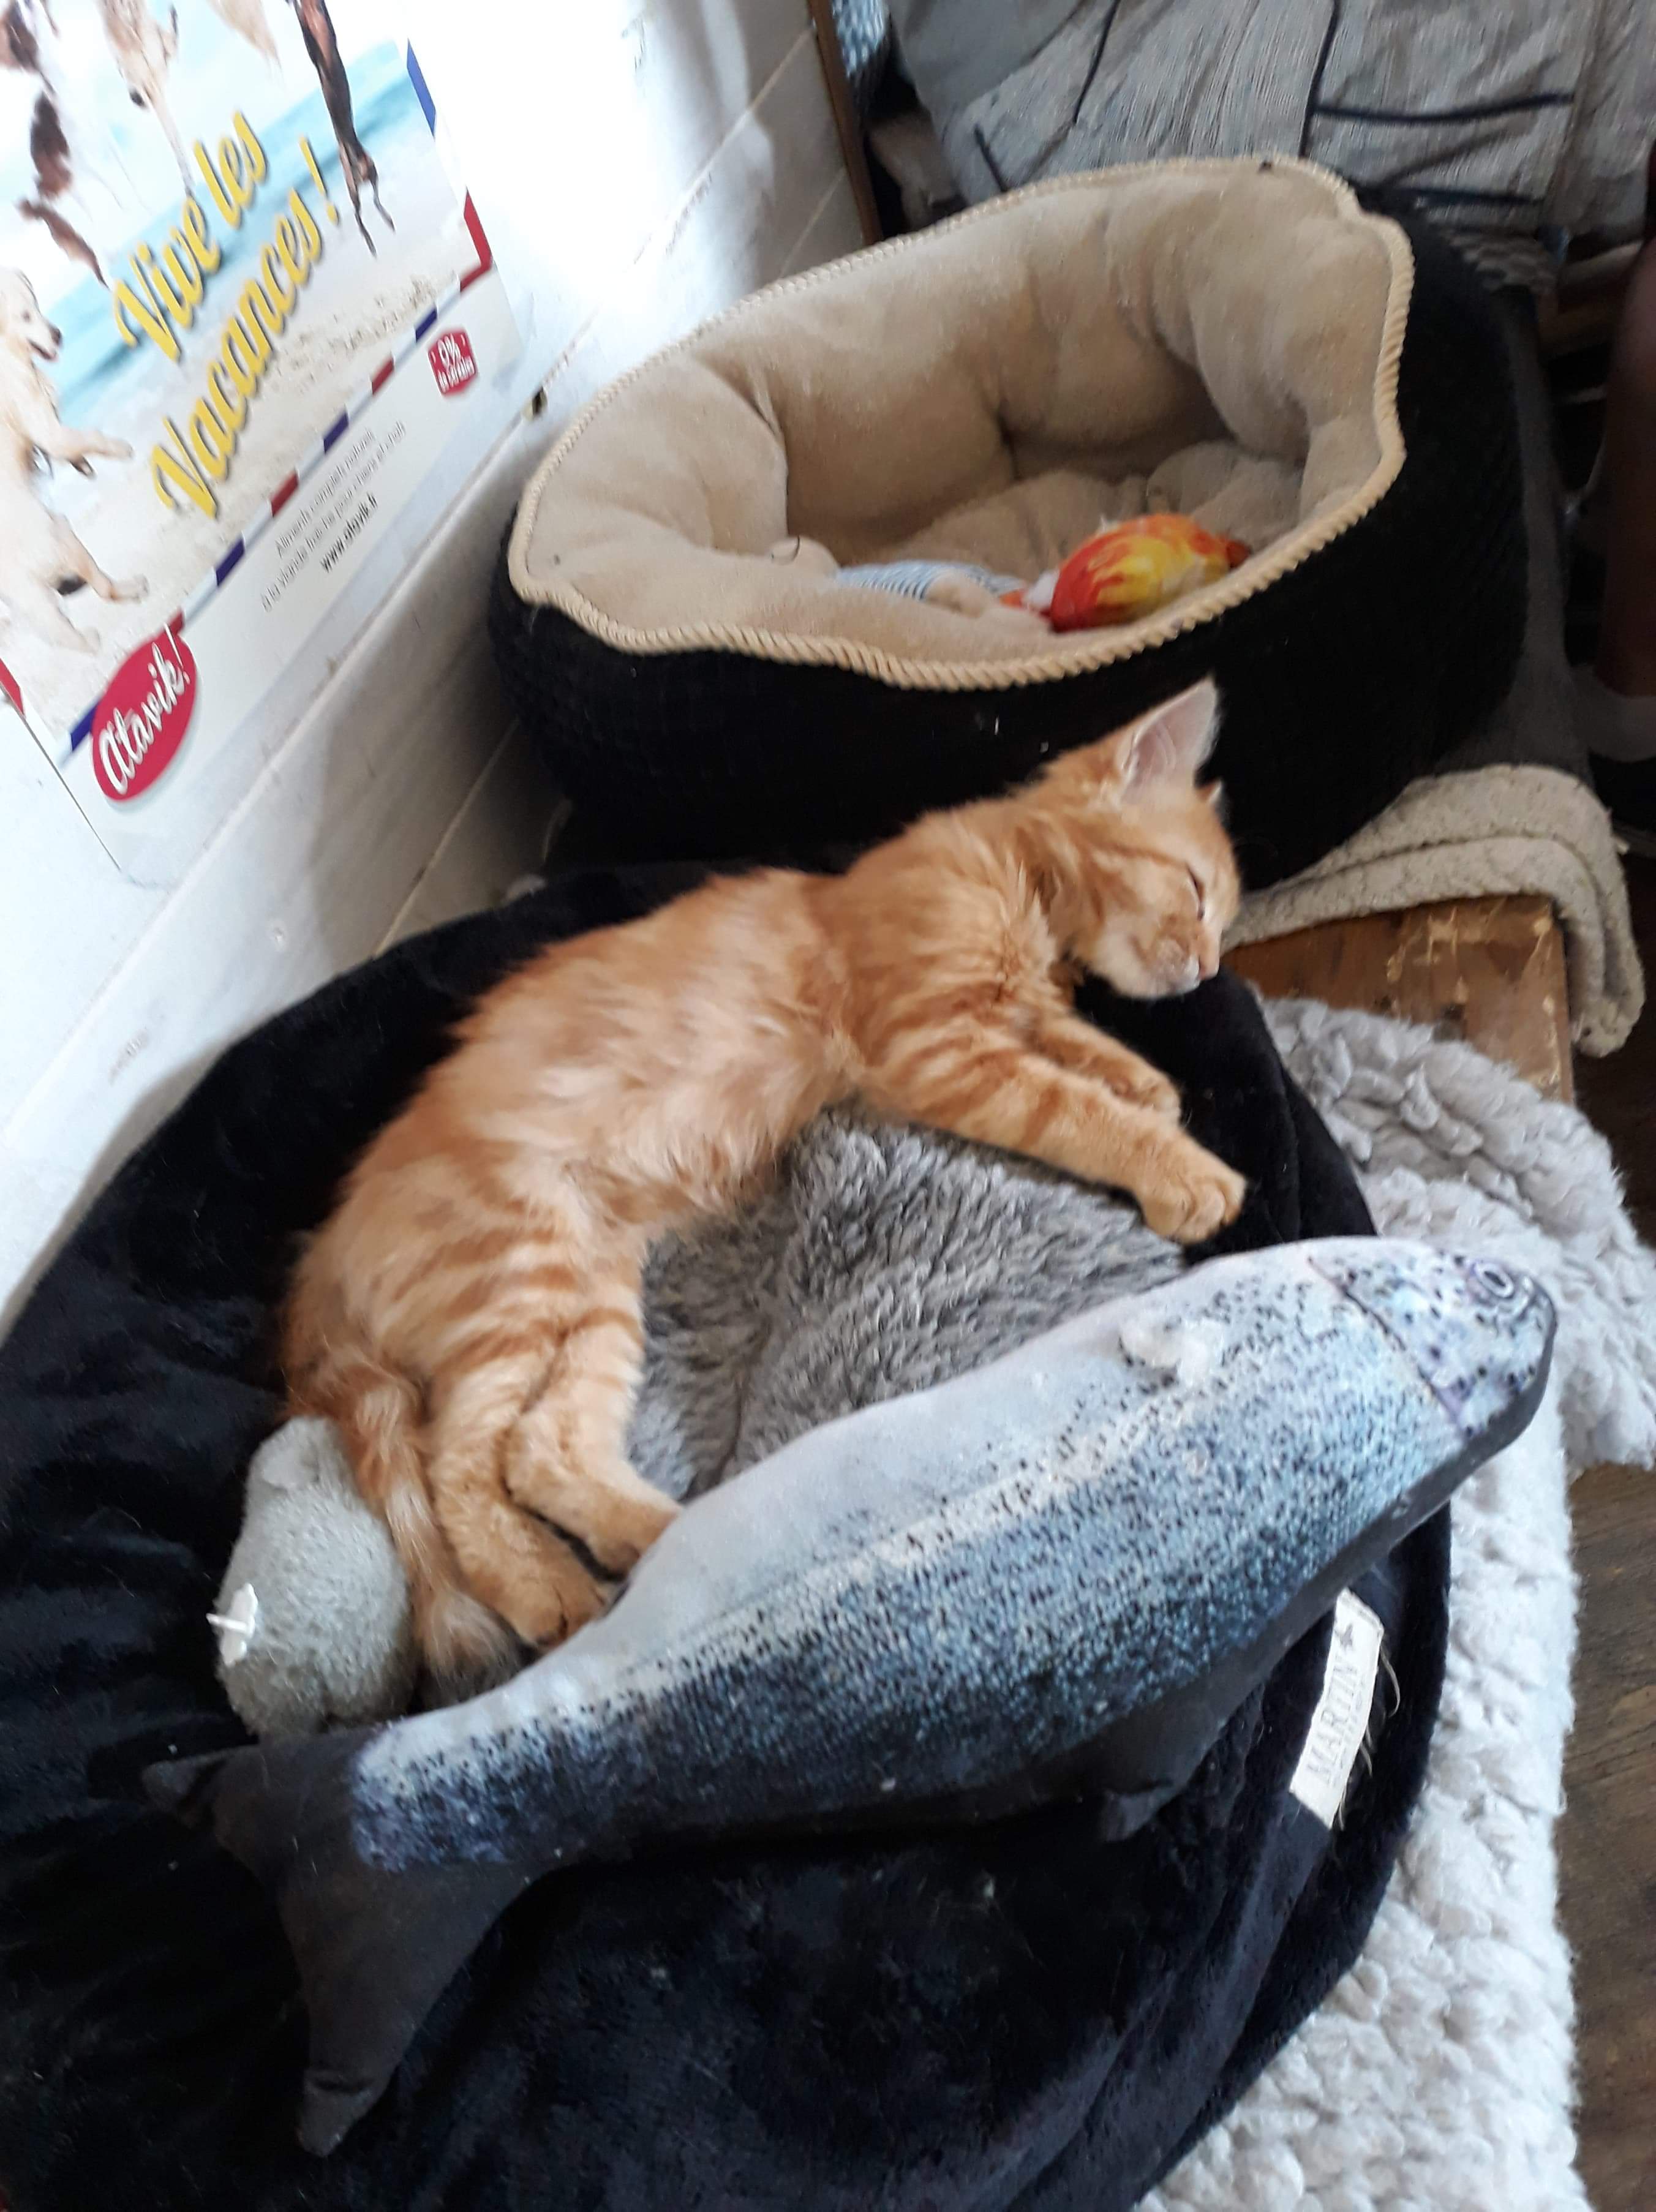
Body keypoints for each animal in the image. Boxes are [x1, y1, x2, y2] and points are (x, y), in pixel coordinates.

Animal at [0, 267, 145, 656]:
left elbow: (72, 447)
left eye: (36, 306)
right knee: (102, 590)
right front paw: (119, 448)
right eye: (25, 316)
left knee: (63, 625)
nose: (57, 335)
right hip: (63, 537)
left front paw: (84, 465)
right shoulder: (39, 419)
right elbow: (86, 437)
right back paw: (125, 594)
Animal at [283, 676, 1245, 1691]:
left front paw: (1140, 1080)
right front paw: (1178, 1163)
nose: (1210, 967)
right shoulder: (937, 1050)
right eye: (1195, 892)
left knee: (540, 1450)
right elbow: (1071, 1107)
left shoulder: (998, 1025)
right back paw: (545, 1580)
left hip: (594, 1292)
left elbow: (1075, 1050)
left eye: (1220, 919)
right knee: (456, 1463)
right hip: (516, 1267)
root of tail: (325, 1247)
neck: (1011, 880)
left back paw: (681, 1544)